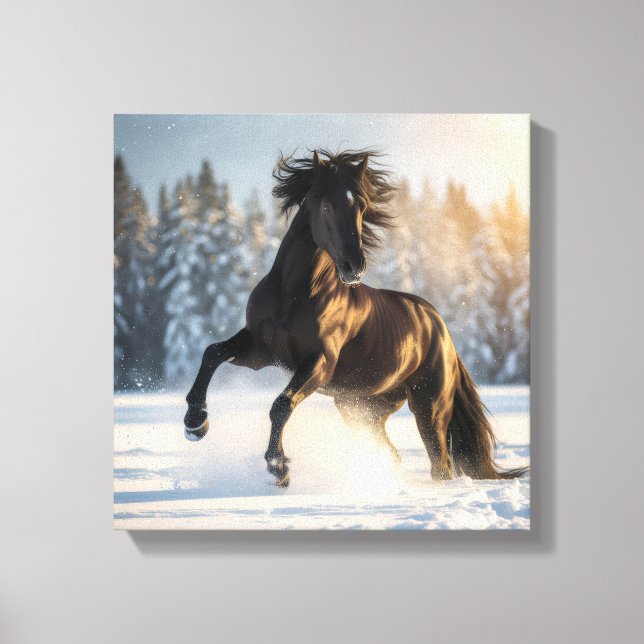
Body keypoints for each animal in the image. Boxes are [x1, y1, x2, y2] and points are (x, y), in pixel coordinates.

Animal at [183, 149, 527, 487]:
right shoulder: (261, 349)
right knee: (393, 453)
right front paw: (195, 424)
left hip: (429, 408)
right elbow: (212, 352)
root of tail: (441, 329)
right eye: (325, 204)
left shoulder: (320, 362)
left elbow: (282, 404)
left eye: (361, 205)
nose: (354, 266)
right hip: (362, 409)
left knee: (440, 464)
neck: (293, 295)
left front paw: (279, 468)